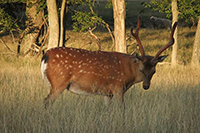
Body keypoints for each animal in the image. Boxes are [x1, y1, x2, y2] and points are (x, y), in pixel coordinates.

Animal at [40, 16, 177, 108]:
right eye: (141, 69)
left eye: (154, 71)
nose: (146, 86)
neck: (129, 74)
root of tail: (45, 56)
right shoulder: (118, 87)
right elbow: (122, 109)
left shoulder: (107, 93)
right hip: (59, 82)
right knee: (46, 102)